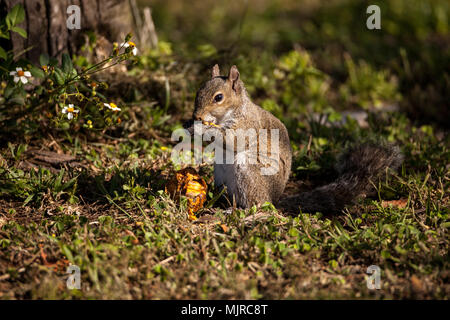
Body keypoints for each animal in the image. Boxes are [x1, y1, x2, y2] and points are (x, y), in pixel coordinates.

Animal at [187, 64, 404, 215]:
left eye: (218, 98)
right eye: (198, 92)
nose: (197, 115)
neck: (230, 113)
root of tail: (274, 199)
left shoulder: (248, 124)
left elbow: (234, 140)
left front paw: (202, 129)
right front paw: (191, 127)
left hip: (249, 170)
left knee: (258, 204)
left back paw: (239, 210)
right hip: (220, 173)